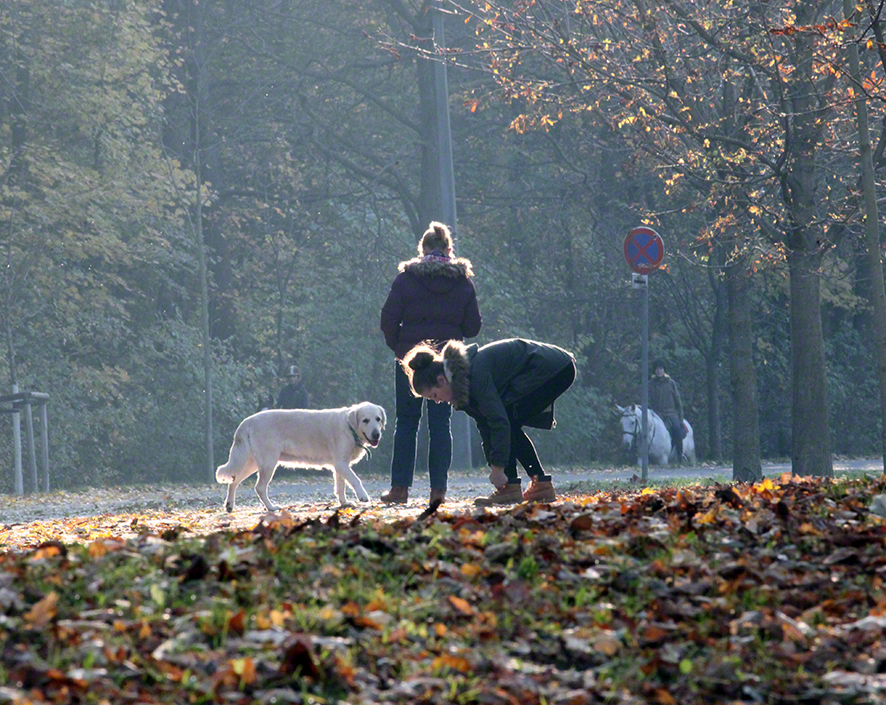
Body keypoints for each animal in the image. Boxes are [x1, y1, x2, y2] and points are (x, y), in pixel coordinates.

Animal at [217, 402, 386, 512]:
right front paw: (363, 496)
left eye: (378, 419)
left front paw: (344, 503)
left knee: (234, 481)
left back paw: (229, 505)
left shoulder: (340, 466)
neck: (349, 426)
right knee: (259, 487)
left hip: (251, 463)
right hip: (268, 463)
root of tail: (246, 422)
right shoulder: (341, 464)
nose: (376, 434)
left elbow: (341, 486)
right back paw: (271, 508)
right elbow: (355, 480)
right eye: (365, 420)